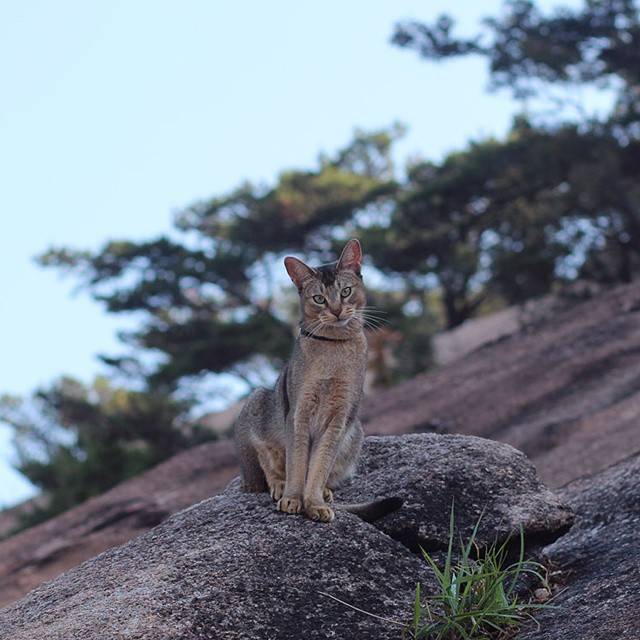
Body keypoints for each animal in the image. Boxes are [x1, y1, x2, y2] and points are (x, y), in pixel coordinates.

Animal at [235, 238, 400, 524]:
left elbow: (320, 464)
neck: (333, 348)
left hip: (356, 431)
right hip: (256, 402)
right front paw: (292, 498)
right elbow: (298, 462)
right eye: (319, 299)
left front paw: (314, 502)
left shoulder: (339, 417)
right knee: (264, 467)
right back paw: (278, 485)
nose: (336, 311)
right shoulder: (298, 412)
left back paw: (325, 493)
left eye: (345, 291)